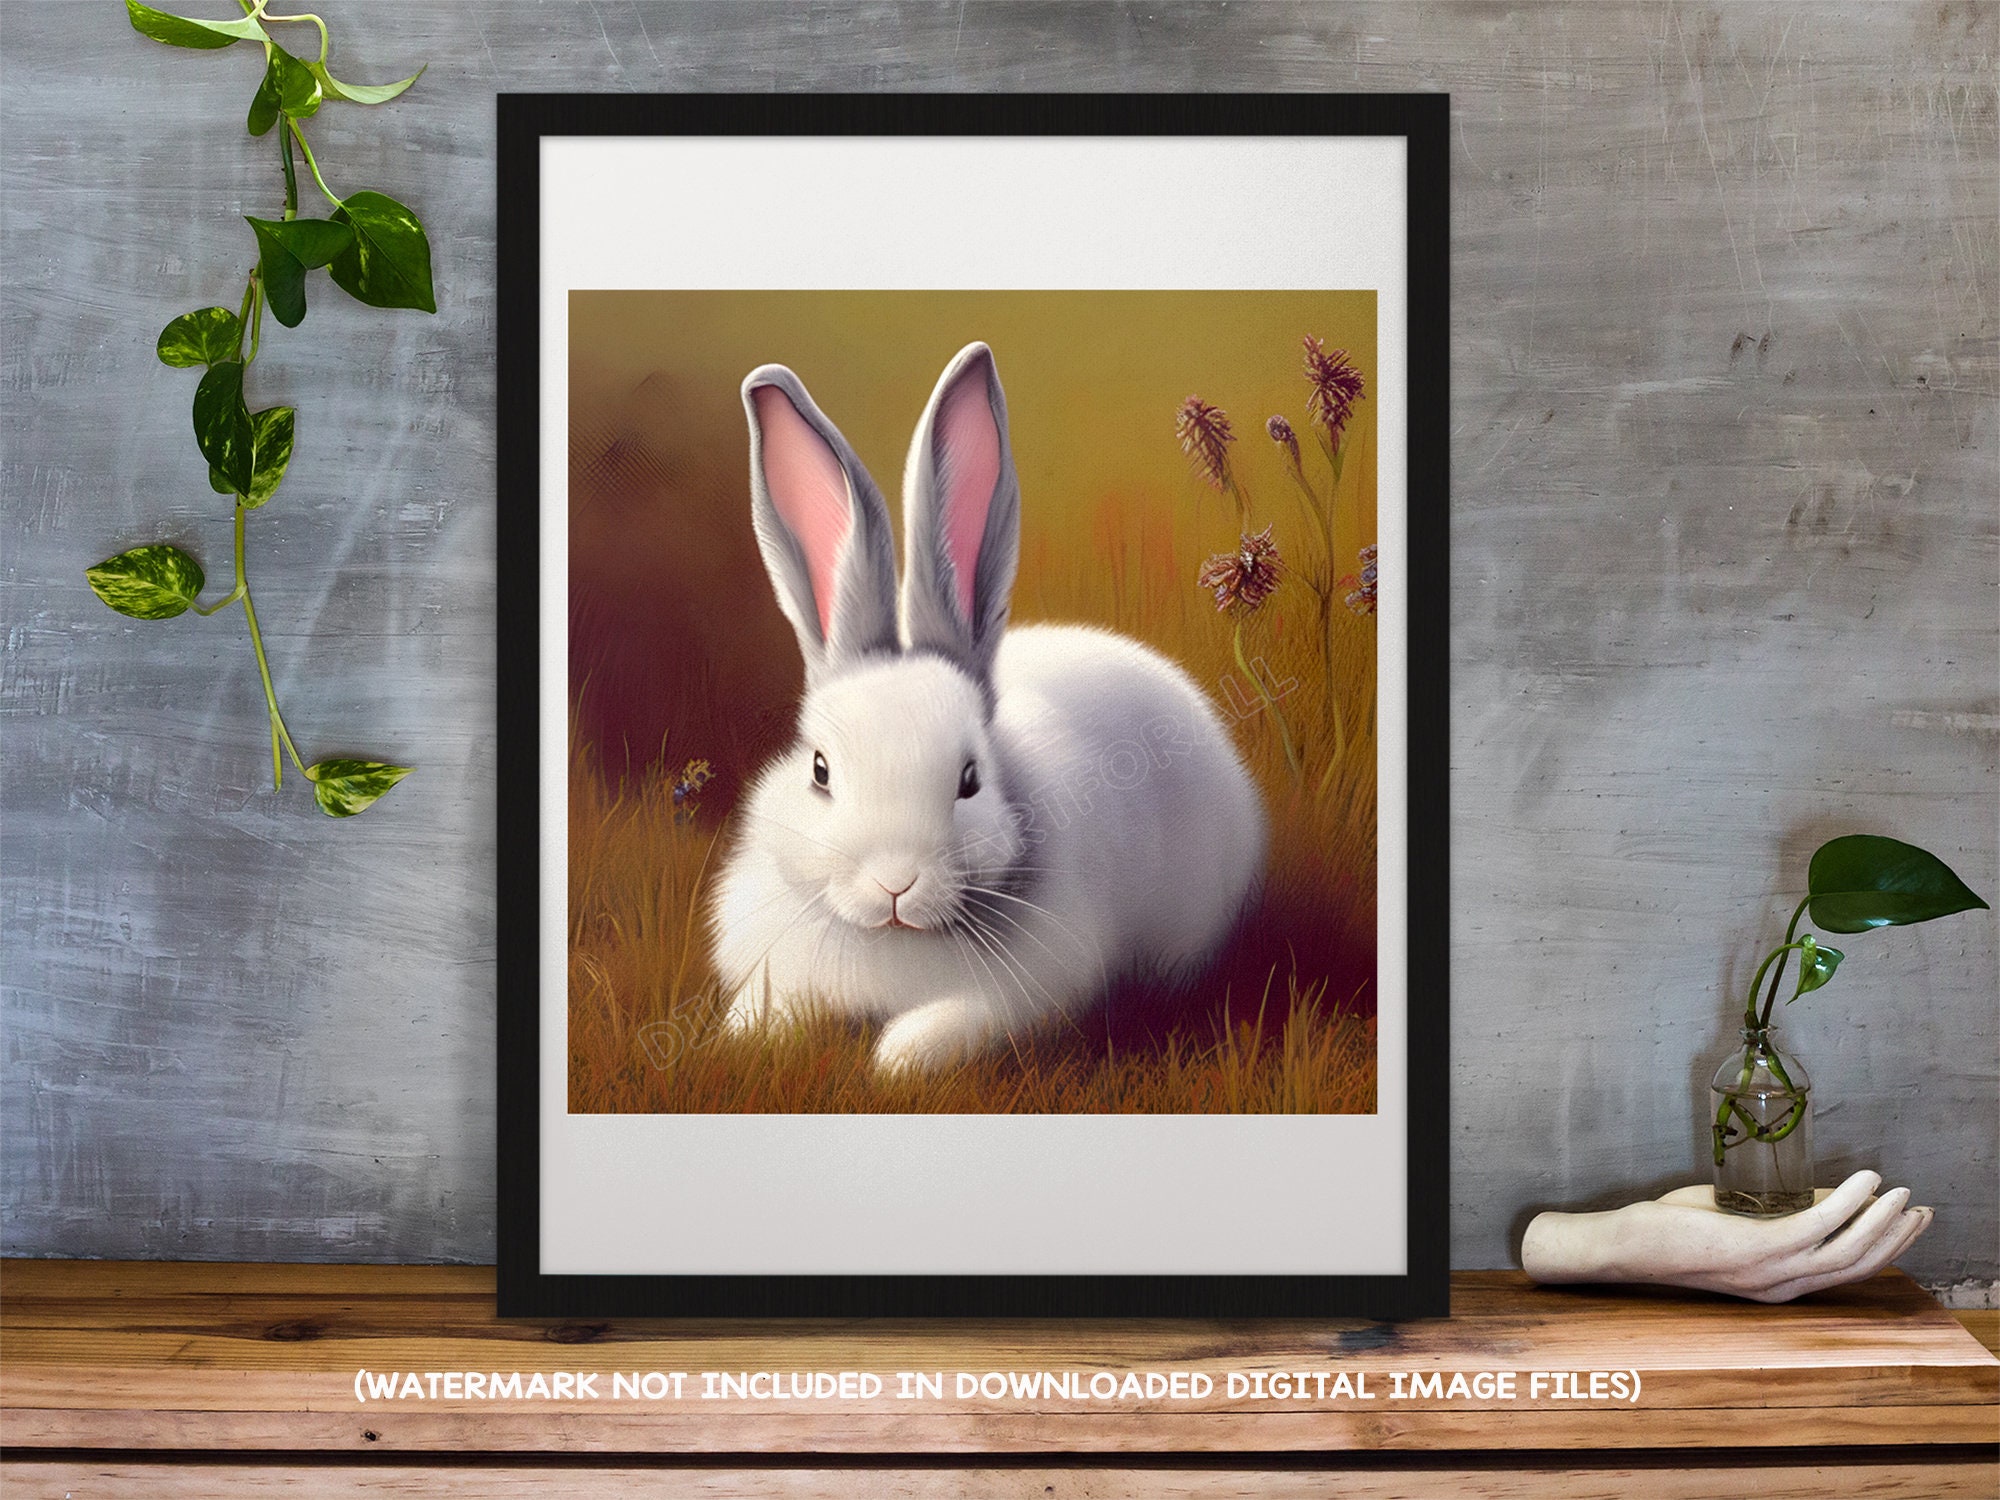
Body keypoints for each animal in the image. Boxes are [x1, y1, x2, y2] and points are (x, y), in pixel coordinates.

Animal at [709, 342, 1268, 1073]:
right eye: (820, 771)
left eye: (970, 779)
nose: (896, 884)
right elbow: (764, 1011)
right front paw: (746, 1035)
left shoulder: (1026, 991)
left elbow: (941, 1033)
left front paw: (894, 1057)